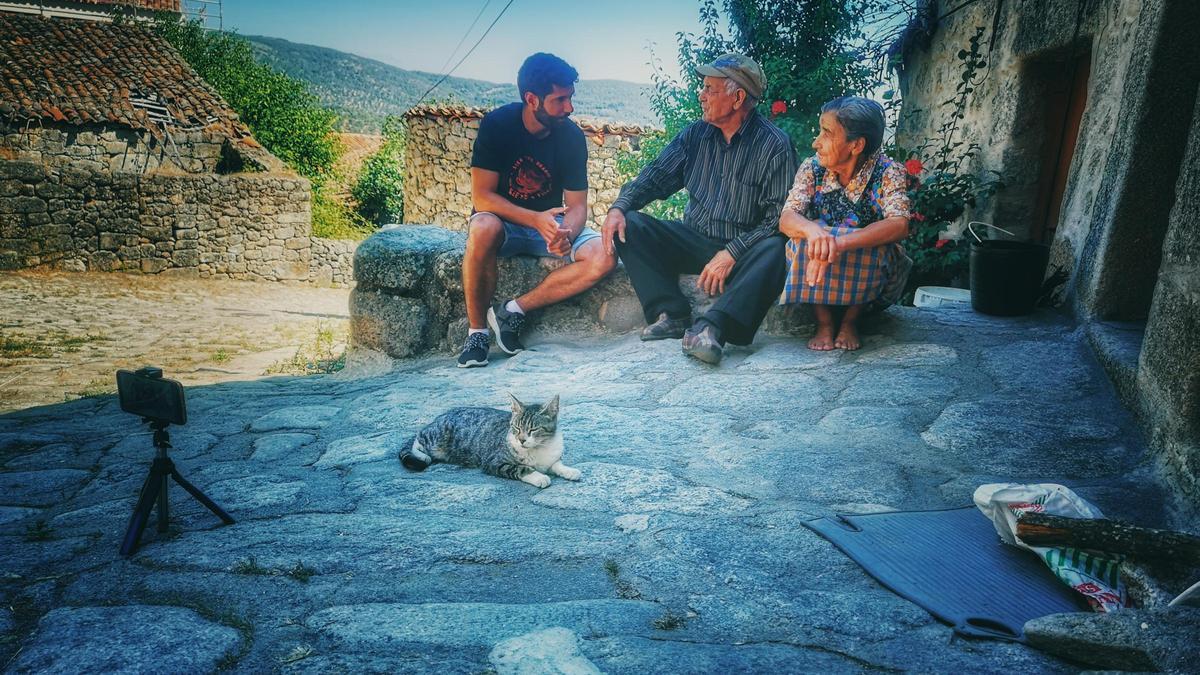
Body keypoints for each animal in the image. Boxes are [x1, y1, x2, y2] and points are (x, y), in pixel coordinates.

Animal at [398, 391, 580, 485]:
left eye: (533, 429)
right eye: (516, 428)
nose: (521, 440)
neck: (539, 448)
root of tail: (440, 416)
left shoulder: (552, 456)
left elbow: (556, 463)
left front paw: (569, 470)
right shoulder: (494, 461)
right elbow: (521, 468)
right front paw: (539, 476)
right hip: (438, 436)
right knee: (418, 437)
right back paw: (422, 455)